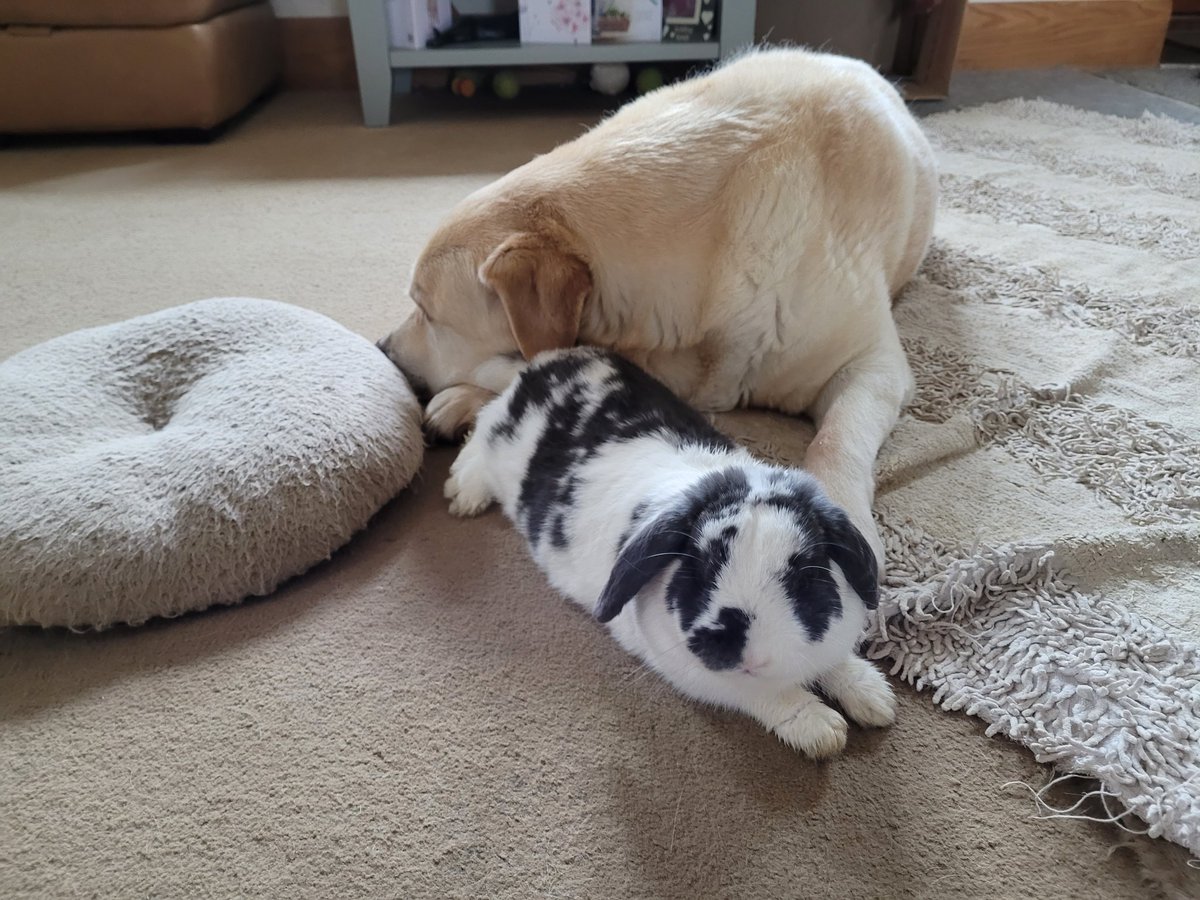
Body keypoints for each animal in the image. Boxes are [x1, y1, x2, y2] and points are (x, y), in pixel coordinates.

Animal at [444, 346, 896, 758]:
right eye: (702, 568)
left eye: (805, 575)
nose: (745, 652)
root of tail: (538, 368)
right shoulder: (700, 674)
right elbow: (764, 696)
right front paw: (822, 729)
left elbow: (831, 662)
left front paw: (875, 697)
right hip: (500, 440)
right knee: (481, 428)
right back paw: (464, 493)